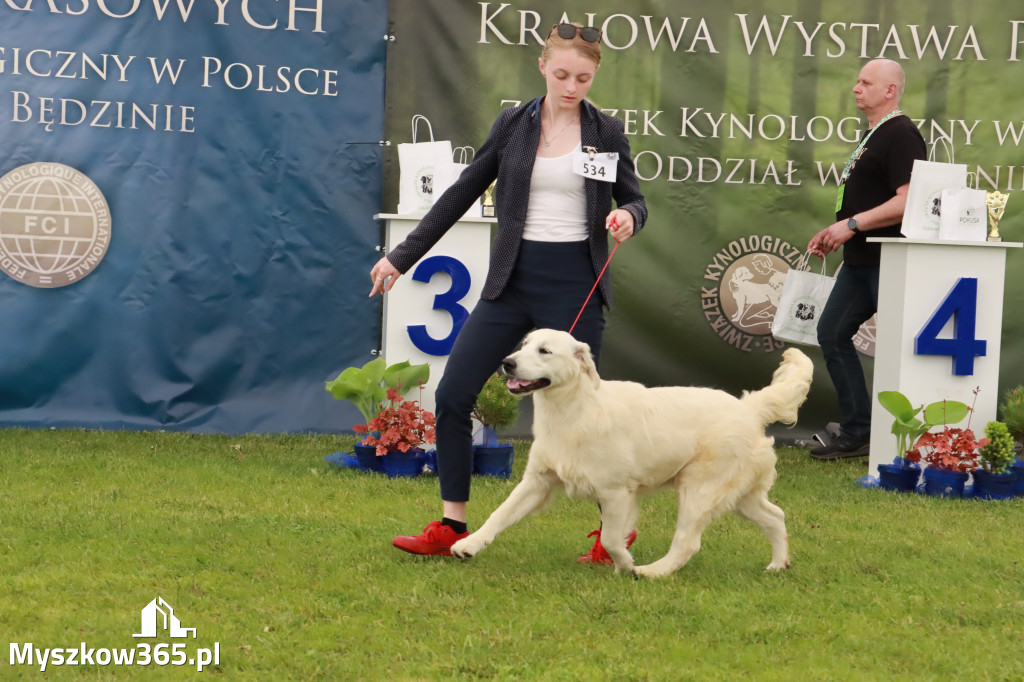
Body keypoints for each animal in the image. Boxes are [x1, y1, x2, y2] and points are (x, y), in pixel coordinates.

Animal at [452, 327, 811, 577]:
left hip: (700, 489)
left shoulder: (616, 493)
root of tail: (749, 408)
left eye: (544, 350)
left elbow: (612, 538)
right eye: (524, 345)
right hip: (738, 494)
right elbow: (499, 514)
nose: (507, 363)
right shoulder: (537, 481)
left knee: (687, 542)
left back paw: (652, 572)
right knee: (776, 516)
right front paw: (468, 545)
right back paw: (778, 565)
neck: (573, 410)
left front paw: (625, 564)